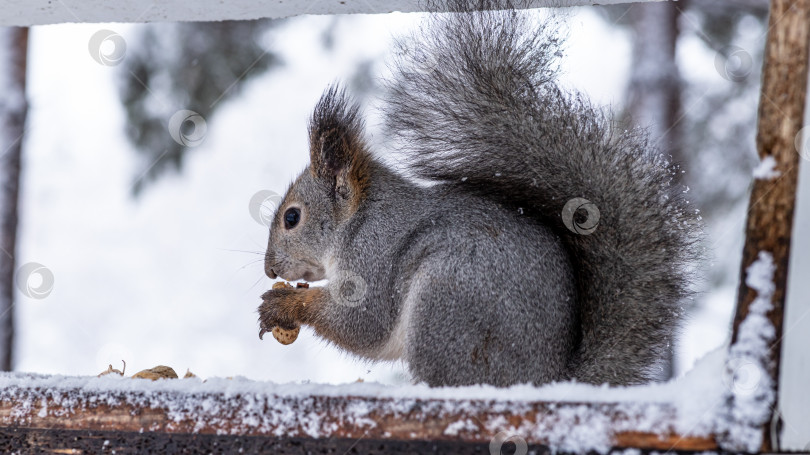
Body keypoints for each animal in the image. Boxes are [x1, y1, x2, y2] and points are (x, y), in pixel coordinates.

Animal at [256, 0, 696, 388]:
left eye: (292, 217)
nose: (270, 270)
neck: (358, 221)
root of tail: (546, 381)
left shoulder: (373, 259)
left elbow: (362, 323)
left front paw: (284, 305)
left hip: (446, 304)